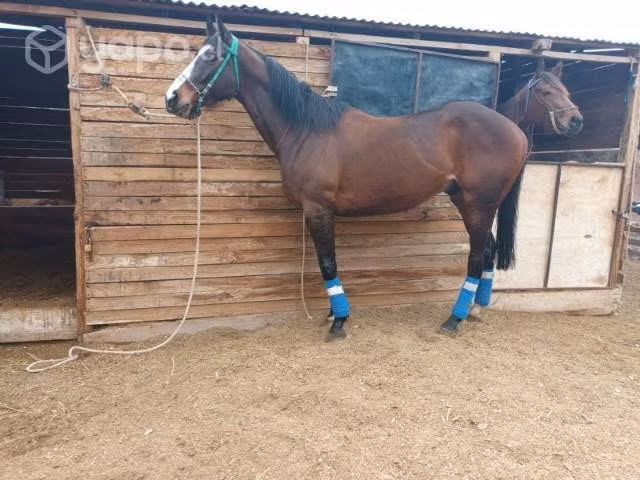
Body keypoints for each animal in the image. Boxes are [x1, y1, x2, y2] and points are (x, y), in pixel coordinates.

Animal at [166, 16, 529, 338]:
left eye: (209, 57)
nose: (172, 98)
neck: (306, 129)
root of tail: (516, 130)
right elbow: (327, 262)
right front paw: (332, 314)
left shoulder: (318, 209)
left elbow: (327, 262)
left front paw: (339, 322)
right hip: (468, 201)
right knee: (488, 251)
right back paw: (475, 310)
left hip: (478, 203)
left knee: (477, 256)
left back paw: (454, 319)